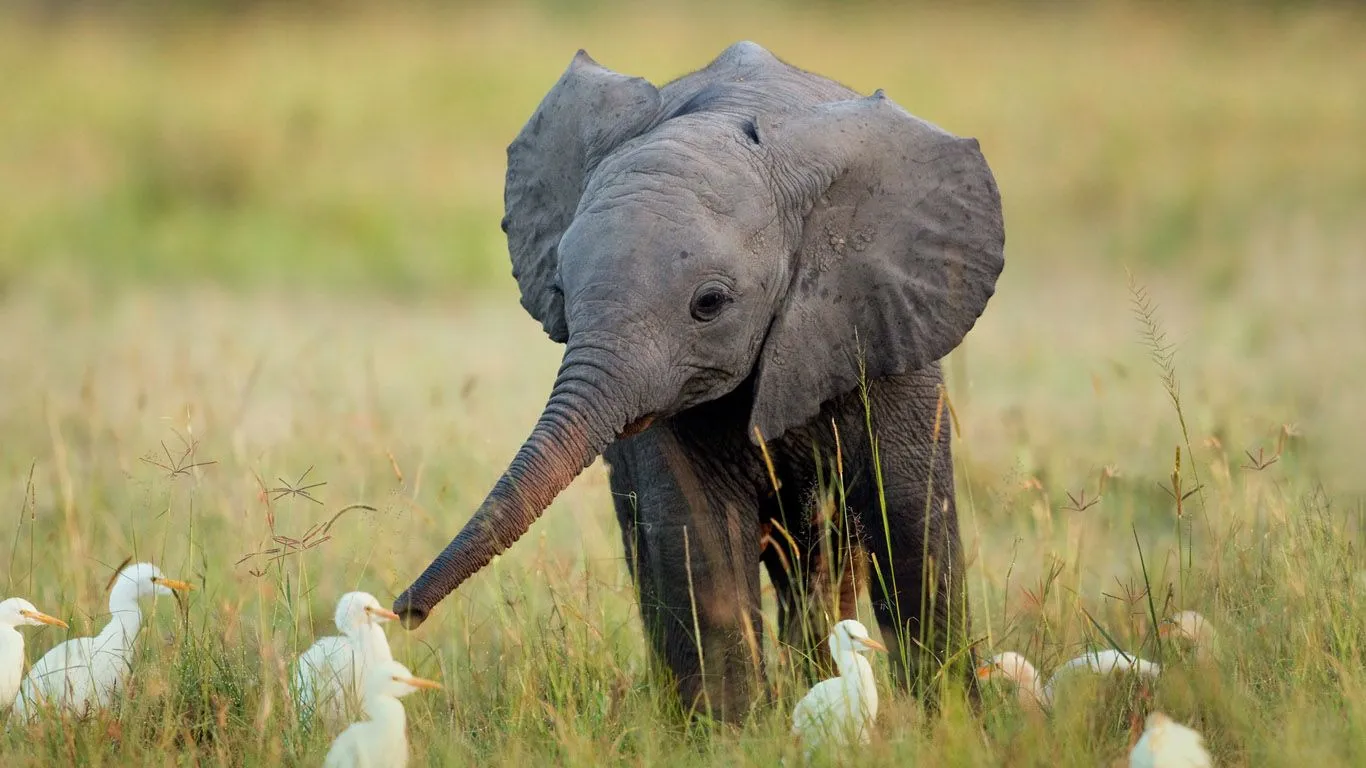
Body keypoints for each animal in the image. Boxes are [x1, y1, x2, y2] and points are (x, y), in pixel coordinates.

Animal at [396, 40, 1005, 721]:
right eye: (559, 290)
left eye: (709, 304)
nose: (405, 613)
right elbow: (699, 538)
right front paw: (733, 733)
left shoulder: (885, 325)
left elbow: (912, 525)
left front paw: (954, 723)